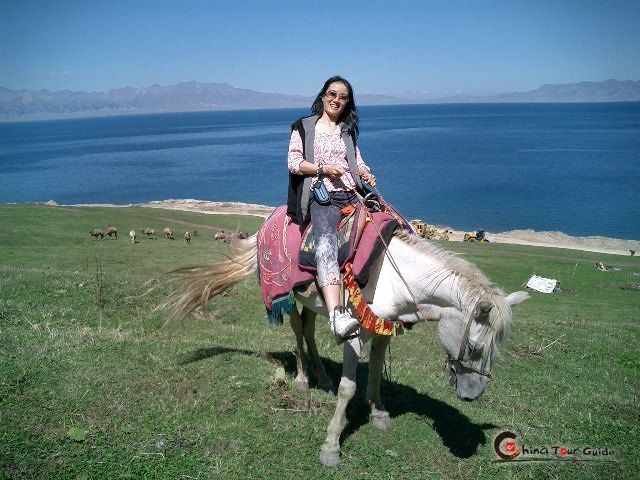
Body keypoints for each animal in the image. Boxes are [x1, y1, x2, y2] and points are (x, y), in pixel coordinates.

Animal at [161, 231, 528, 466]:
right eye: (476, 346)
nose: (473, 394)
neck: (392, 276)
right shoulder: (354, 336)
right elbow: (348, 388)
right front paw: (331, 446)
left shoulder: (382, 330)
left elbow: (376, 371)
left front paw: (379, 413)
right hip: (289, 297)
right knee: (298, 330)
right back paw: (302, 379)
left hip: (313, 301)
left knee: (309, 328)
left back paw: (322, 378)